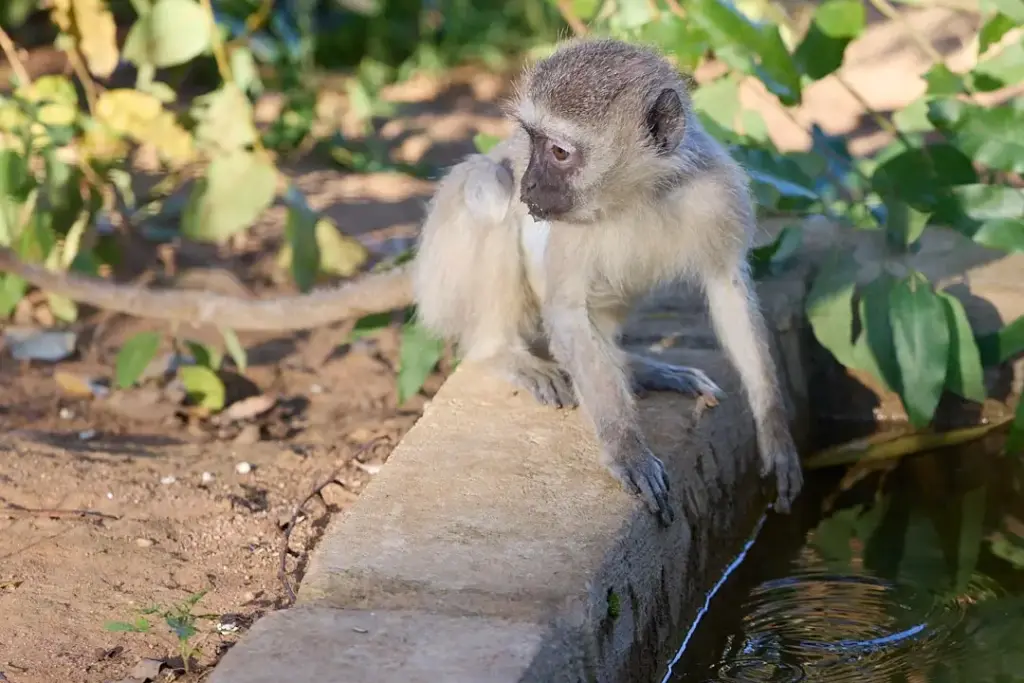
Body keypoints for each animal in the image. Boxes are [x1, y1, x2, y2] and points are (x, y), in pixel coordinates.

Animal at [411, 37, 803, 526]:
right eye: (532, 140)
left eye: (558, 152)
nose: (530, 184)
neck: (636, 197)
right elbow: (566, 313)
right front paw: (627, 449)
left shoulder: (718, 192)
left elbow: (727, 287)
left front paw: (776, 434)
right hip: (441, 286)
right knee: (488, 187)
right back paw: (500, 351)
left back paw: (631, 366)